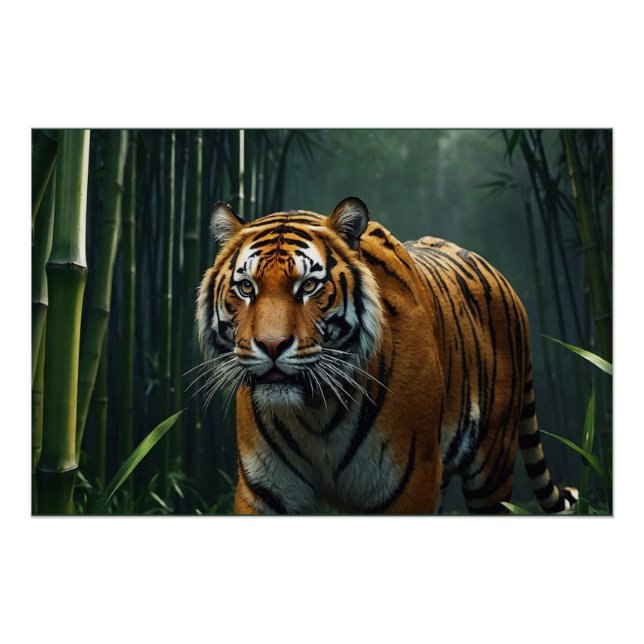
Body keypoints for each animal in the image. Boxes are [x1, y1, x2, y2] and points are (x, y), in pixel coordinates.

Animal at [196, 196, 578, 515]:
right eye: (247, 288)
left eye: (309, 286)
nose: (272, 345)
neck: (315, 411)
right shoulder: (262, 490)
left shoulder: (412, 482)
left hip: (492, 465)